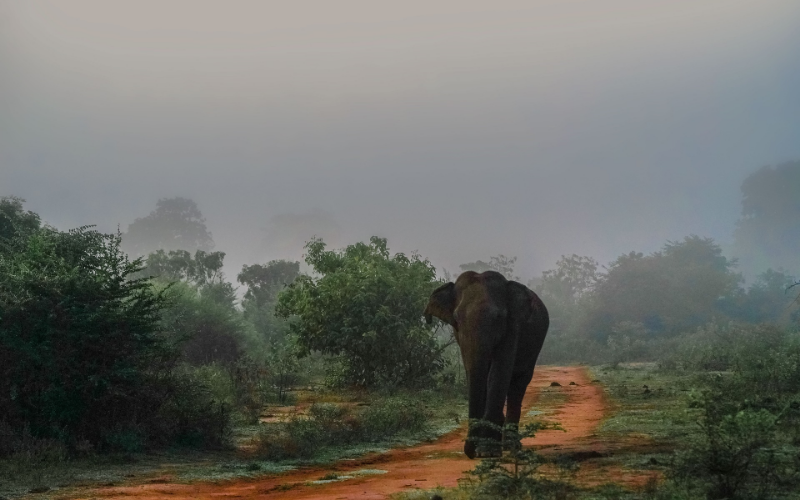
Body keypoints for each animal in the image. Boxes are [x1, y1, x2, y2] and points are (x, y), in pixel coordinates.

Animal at [424, 272, 552, 458]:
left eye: (498, 318)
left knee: (519, 383)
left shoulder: (513, 327)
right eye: (456, 318)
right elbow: (473, 370)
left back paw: (511, 447)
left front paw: (487, 451)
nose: (470, 451)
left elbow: (498, 373)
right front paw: (483, 448)